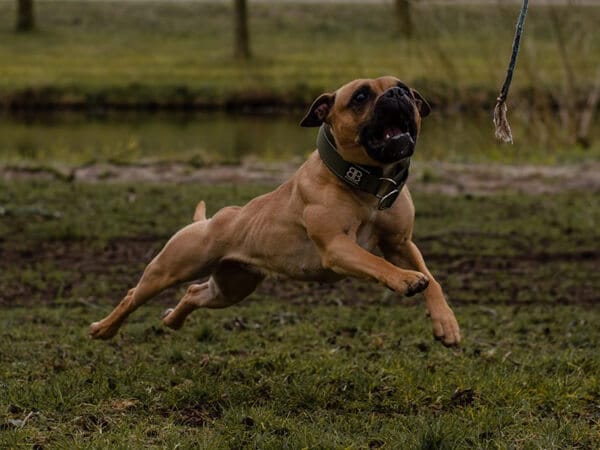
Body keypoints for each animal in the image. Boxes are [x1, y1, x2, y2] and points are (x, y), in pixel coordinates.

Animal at [90, 76, 460, 344]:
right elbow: (377, 263)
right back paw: (104, 329)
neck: (366, 182)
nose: (398, 94)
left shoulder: (401, 244)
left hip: (231, 287)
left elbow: (433, 279)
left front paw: (446, 323)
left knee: (195, 293)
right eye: (360, 97)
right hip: (169, 269)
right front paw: (405, 279)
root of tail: (210, 221)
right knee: (133, 295)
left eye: (406, 89)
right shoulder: (337, 247)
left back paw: (172, 320)